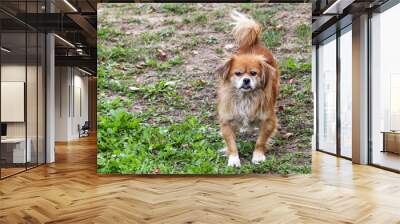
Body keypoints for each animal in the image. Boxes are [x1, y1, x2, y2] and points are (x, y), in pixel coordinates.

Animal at [217, 11, 280, 167]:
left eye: (253, 73)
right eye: (238, 73)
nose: (246, 80)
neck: (246, 98)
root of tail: (254, 42)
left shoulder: (269, 120)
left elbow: (260, 140)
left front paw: (258, 156)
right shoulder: (226, 122)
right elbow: (231, 144)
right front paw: (233, 159)